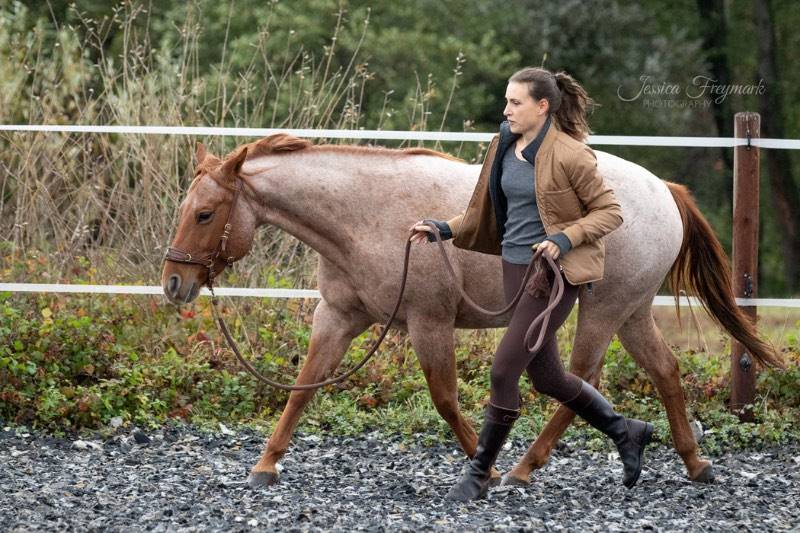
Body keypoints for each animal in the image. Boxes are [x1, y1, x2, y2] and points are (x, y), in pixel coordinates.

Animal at [161, 132, 780, 486]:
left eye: (206, 213)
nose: (173, 282)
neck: (365, 218)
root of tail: (663, 191)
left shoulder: (429, 323)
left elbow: (445, 400)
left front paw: (485, 465)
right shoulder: (338, 317)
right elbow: (305, 388)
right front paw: (265, 467)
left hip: (603, 312)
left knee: (583, 375)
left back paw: (524, 470)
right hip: (631, 312)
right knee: (663, 372)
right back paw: (693, 465)